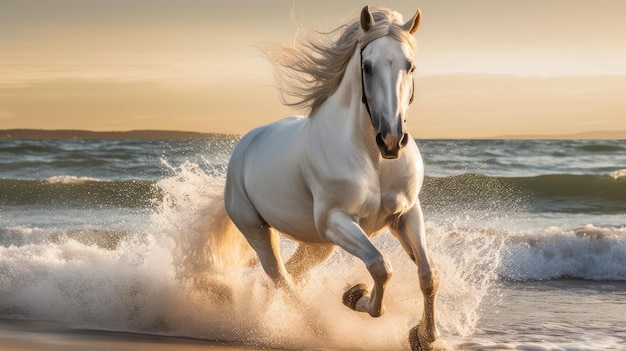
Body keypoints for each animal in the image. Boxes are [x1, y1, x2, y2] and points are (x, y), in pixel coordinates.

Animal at [224, 6, 438, 351]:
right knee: (280, 278)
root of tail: (245, 144)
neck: (372, 158)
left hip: (318, 245)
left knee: (293, 274)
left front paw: (424, 337)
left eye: (410, 65)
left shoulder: (405, 215)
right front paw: (354, 296)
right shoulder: (337, 220)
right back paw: (317, 329)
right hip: (258, 230)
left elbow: (428, 274)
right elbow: (381, 268)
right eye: (367, 66)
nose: (392, 141)